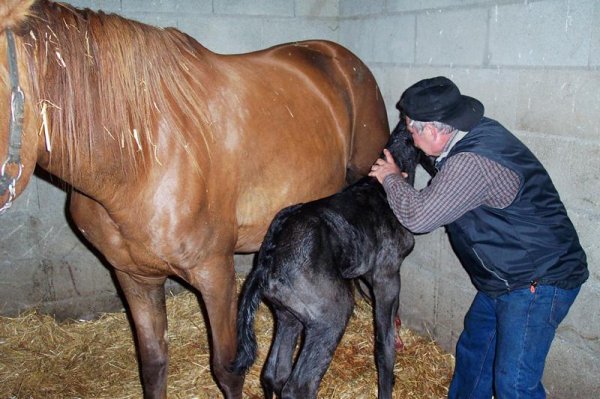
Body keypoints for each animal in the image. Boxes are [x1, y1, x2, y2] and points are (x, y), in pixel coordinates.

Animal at [0, 1, 390, 398]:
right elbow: (153, 364)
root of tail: (338, 55)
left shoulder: (215, 274)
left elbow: (227, 368)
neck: (142, 155)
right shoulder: (134, 276)